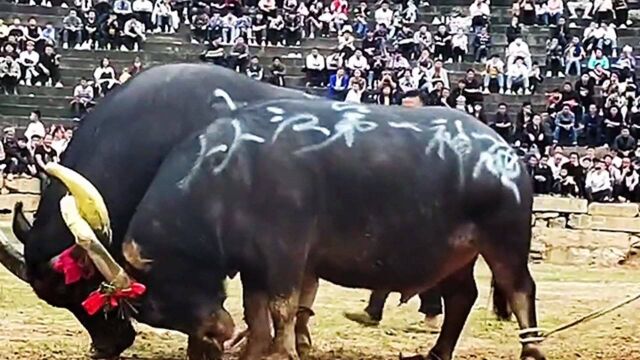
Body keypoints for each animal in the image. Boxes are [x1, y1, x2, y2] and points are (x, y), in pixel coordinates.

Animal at [102, 99, 544, 360]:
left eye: (160, 301)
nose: (214, 336)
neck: (226, 174)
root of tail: (506, 154)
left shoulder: (285, 252)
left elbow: (282, 306)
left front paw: (281, 353)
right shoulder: (253, 264)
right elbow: (255, 310)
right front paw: (254, 350)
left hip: (505, 240)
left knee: (521, 289)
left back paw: (531, 351)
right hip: (457, 254)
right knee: (462, 297)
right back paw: (436, 353)